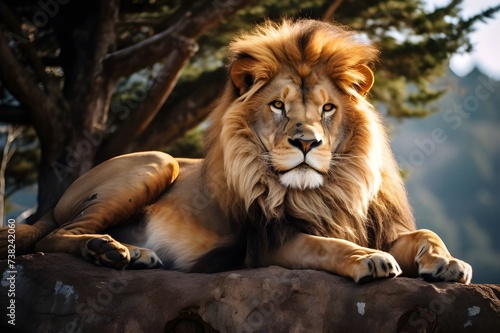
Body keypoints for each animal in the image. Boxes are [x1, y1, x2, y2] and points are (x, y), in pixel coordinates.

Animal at [0, 18, 470, 282]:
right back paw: (111, 250)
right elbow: (327, 246)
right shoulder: (265, 244)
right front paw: (369, 259)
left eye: (328, 109)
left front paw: (448, 262)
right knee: (57, 235)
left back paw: (131, 254)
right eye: (278, 106)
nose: (306, 142)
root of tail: (55, 203)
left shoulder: (378, 223)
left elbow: (425, 234)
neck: (326, 191)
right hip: (158, 161)